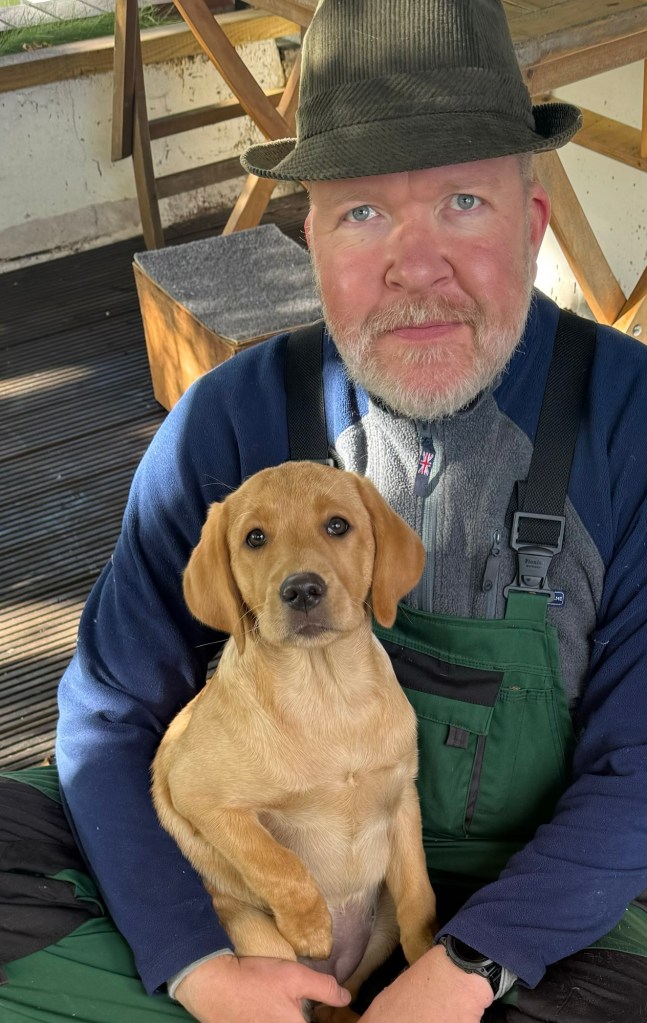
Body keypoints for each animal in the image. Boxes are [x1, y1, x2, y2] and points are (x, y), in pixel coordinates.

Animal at [151, 461, 437, 1021]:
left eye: (337, 526)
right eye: (255, 538)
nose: (301, 589)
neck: (329, 693)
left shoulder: (402, 798)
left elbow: (420, 895)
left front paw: (426, 965)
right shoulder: (200, 797)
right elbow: (277, 862)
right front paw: (312, 927)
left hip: (379, 925)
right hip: (257, 937)